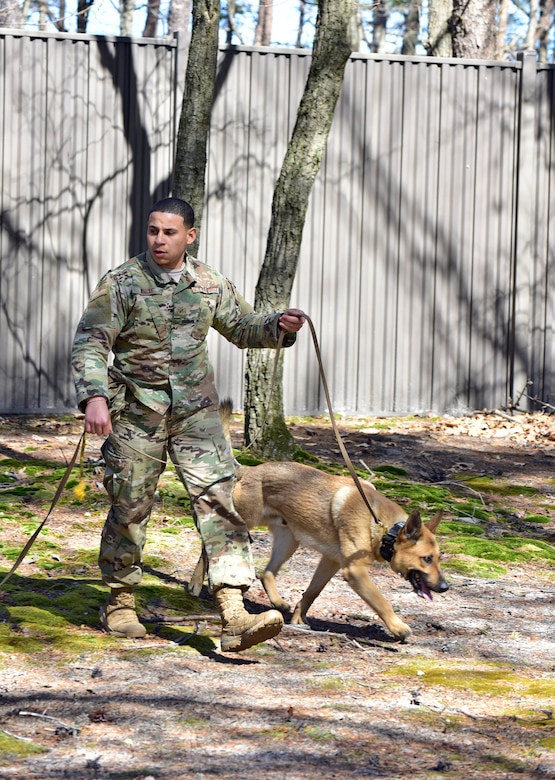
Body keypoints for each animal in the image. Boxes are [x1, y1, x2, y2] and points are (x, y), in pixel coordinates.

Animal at [193, 402, 450, 640]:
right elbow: (381, 601)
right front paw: (398, 627)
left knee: (266, 573)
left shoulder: (330, 561)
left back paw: (278, 603)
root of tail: (250, 470)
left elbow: (311, 592)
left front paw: (298, 618)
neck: (382, 527)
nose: (445, 587)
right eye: (427, 559)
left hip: (289, 543)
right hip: (242, 525)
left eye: (438, 559)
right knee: (207, 549)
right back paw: (195, 584)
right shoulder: (354, 571)